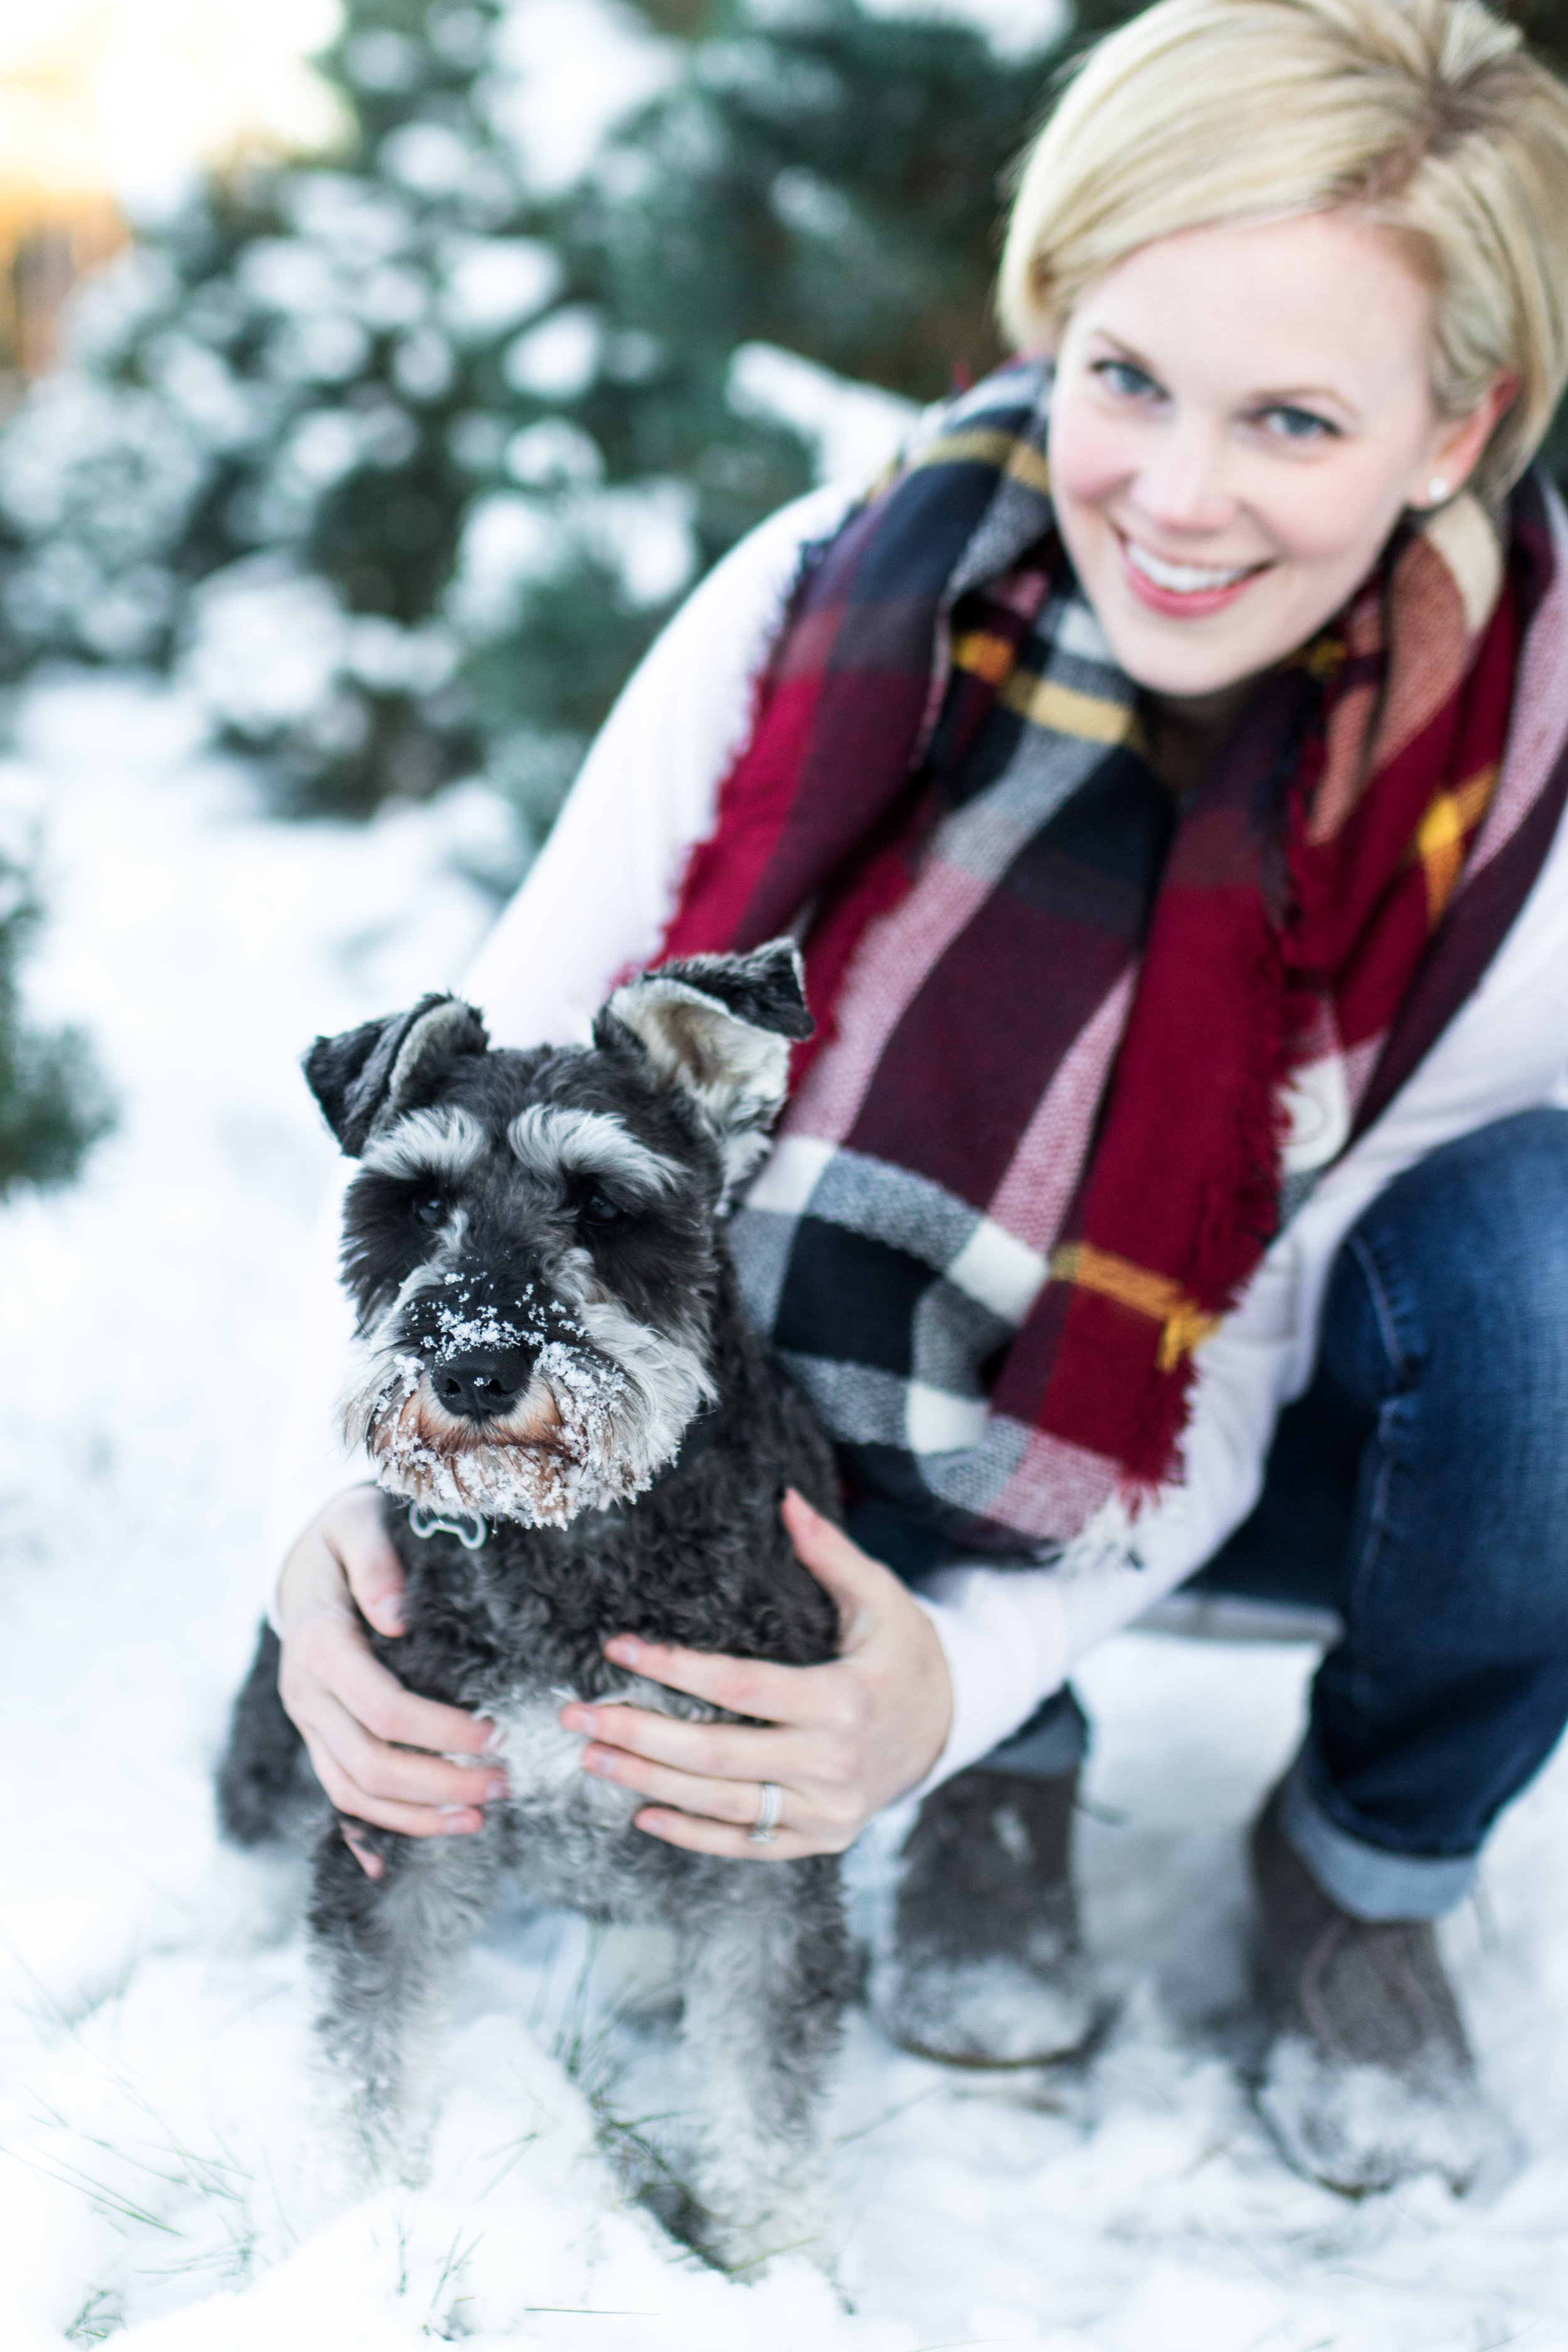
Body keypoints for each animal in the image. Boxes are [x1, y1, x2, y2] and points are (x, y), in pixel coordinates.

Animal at [216, 936, 850, 2258]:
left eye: (604, 1204)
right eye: (417, 1203)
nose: (473, 1367)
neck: (574, 1541)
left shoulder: (772, 1870)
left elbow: (767, 2107)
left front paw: (789, 2272)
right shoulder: (400, 1823)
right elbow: (366, 2063)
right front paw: (346, 2228)